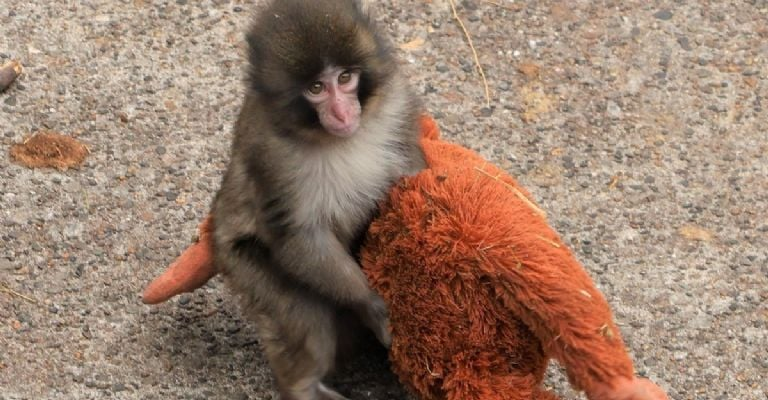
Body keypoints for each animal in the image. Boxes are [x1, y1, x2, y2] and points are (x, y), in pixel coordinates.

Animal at [210, 0, 426, 399]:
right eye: (315, 88)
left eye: (344, 78)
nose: (342, 112)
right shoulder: (271, 155)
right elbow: (298, 237)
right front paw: (372, 306)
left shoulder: (396, 103)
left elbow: (412, 174)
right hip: (241, 263)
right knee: (304, 310)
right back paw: (302, 385)